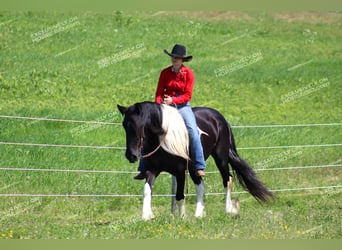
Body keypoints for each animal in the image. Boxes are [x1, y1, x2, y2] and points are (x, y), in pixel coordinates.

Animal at [117, 100, 272, 220]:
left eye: (140, 125)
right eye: (124, 125)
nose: (131, 155)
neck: (162, 139)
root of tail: (220, 118)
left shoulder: (179, 171)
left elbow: (179, 195)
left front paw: (182, 217)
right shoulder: (152, 170)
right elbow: (147, 190)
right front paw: (146, 216)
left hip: (220, 158)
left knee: (227, 179)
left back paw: (228, 210)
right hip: (194, 167)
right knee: (201, 185)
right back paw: (200, 213)